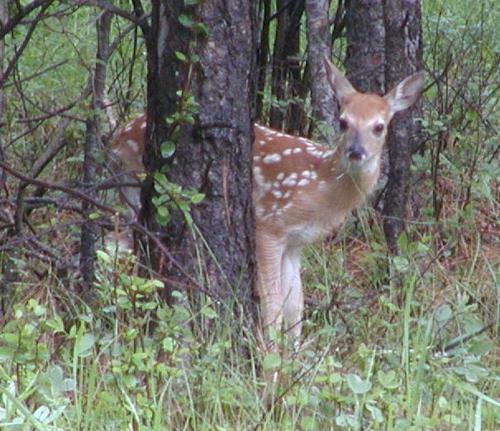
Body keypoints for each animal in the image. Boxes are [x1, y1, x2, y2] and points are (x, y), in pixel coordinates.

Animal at [108, 59, 422, 346]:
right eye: (343, 121)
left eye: (379, 127)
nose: (356, 151)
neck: (323, 188)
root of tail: (117, 135)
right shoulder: (270, 225)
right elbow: (273, 305)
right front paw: (270, 361)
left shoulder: (296, 242)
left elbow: (296, 305)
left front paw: (293, 359)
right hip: (132, 187)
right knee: (116, 244)